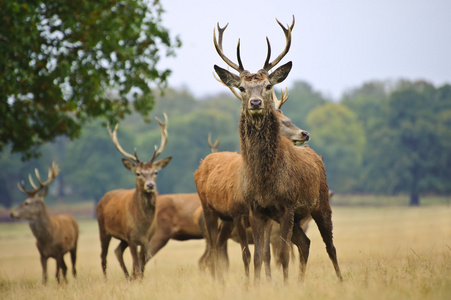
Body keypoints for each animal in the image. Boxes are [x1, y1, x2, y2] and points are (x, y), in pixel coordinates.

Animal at [96, 114, 172, 278]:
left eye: (155, 172)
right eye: (138, 173)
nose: (150, 185)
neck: (143, 225)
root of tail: (102, 198)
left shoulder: (146, 239)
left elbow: (141, 265)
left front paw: (139, 279)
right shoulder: (131, 236)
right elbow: (136, 264)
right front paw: (136, 279)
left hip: (122, 237)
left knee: (117, 250)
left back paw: (127, 277)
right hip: (103, 229)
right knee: (103, 256)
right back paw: (106, 279)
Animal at [212, 16, 342, 284]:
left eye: (268, 85)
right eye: (242, 88)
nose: (255, 103)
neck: (264, 178)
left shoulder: (287, 204)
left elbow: (282, 254)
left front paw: (283, 285)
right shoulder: (257, 209)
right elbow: (260, 255)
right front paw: (259, 286)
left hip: (321, 203)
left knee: (330, 246)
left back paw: (340, 280)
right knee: (305, 243)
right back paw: (301, 282)